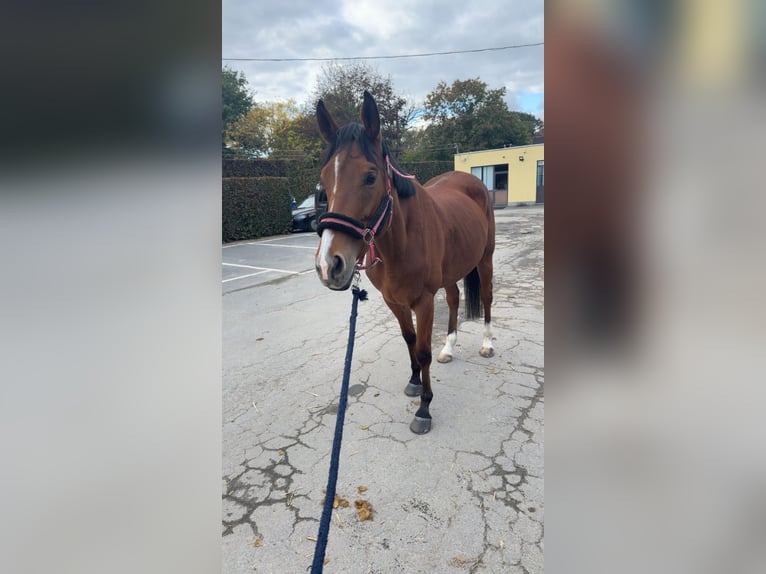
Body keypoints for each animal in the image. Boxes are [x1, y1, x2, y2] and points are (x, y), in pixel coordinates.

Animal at [316, 90, 496, 434]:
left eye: (370, 176)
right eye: (323, 179)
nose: (329, 265)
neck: (401, 240)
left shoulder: (423, 301)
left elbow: (423, 351)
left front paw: (424, 409)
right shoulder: (393, 300)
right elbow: (409, 338)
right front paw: (413, 381)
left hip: (485, 260)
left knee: (488, 298)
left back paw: (487, 345)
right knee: (454, 299)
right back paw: (449, 348)